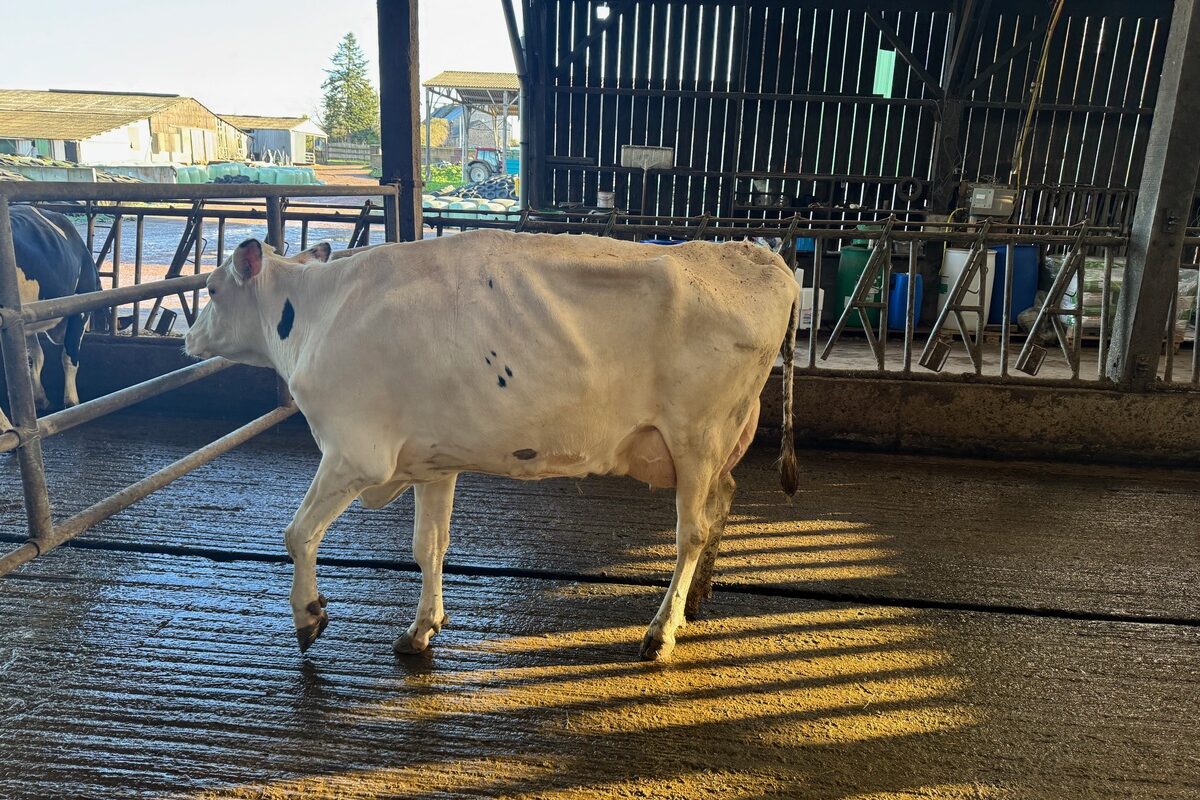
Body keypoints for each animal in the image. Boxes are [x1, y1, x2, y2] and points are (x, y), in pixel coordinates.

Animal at [183, 230, 799, 661]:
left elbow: (298, 534)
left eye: (210, 289)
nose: (187, 338)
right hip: (718, 440)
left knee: (691, 530)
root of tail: (760, 257)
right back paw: (694, 601)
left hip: (697, 434)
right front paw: (421, 629)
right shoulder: (431, 460)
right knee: (722, 502)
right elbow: (429, 546)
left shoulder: (355, 452)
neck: (318, 312)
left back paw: (661, 631)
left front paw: (309, 617)